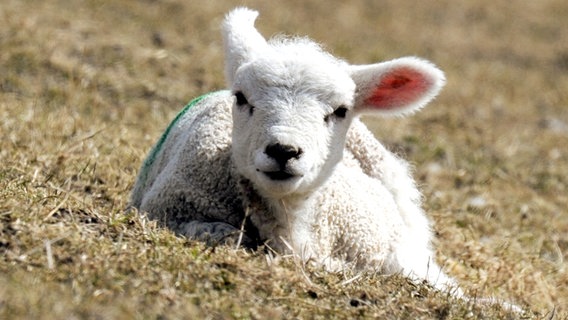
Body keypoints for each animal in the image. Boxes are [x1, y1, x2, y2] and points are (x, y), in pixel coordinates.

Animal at [130, 7, 458, 292]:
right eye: (241, 98)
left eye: (341, 111)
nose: (283, 150)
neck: (289, 218)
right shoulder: (169, 210)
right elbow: (226, 234)